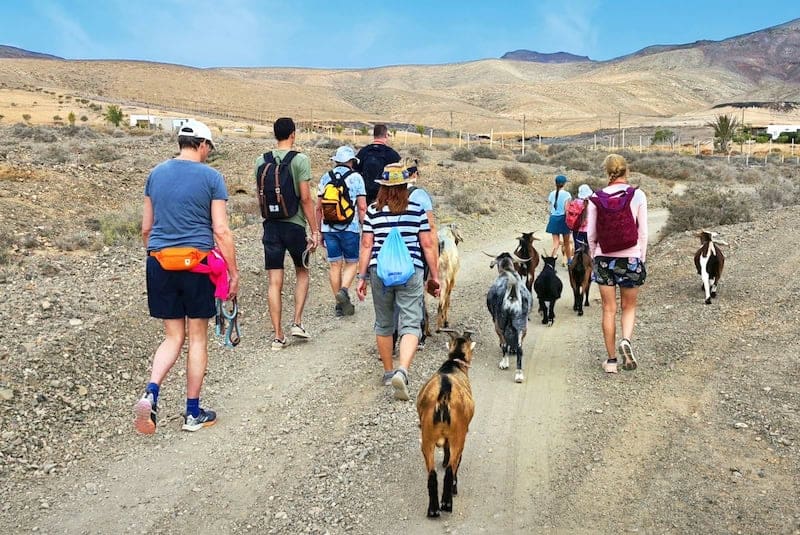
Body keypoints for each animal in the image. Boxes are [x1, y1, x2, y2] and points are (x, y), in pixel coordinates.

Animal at [418, 330, 476, 520]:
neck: (453, 366)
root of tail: (444, 392)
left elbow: (446, 449)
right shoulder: (462, 434)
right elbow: (455, 460)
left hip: (427, 438)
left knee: (432, 474)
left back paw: (433, 510)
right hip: (458, 435)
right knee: (451, 470)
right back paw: (447, 503)